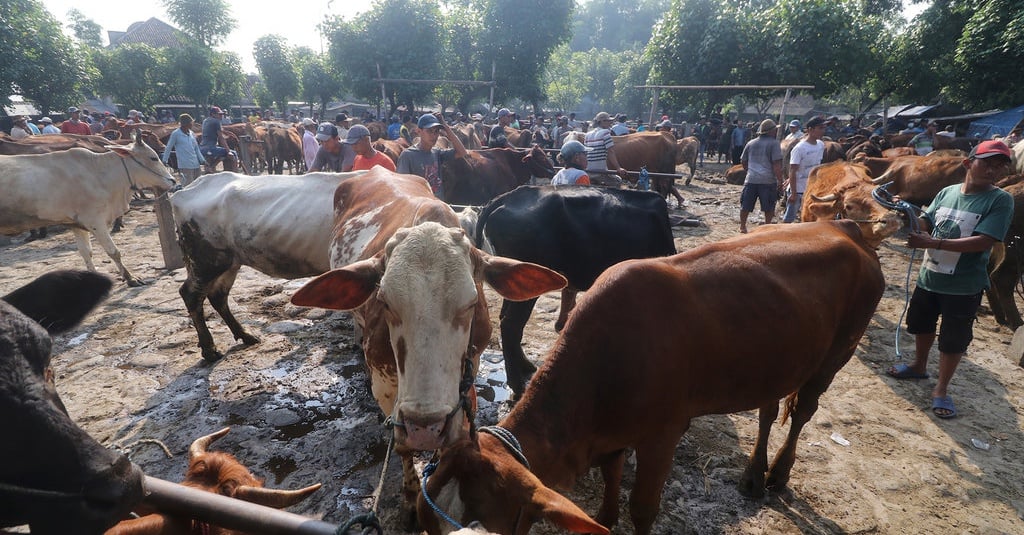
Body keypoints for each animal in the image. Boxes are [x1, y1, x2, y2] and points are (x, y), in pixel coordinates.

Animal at [0, 133, 174, 282]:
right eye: (153, 157)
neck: (98, 173)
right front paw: (130, 278)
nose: (172, 180)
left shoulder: (76, 224)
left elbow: (86, 253)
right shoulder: (95, 221)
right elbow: (114, 252)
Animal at [419, 219, 884, 532]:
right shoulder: (610, 435)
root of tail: (844, 227)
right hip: (781, 358)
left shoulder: (663, 433)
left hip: (839, 351)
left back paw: (779, 473)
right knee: (770, 409)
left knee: (803, 410)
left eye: (485, 526)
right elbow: (611, 481)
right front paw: (606, 517)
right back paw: (754, 474)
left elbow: (643, 508)